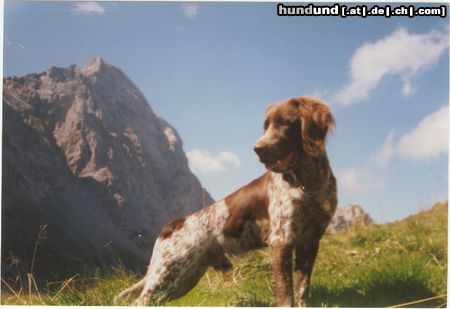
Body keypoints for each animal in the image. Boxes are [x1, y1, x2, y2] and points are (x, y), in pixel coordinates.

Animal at [116, 96, 338, 306]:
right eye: (265, 126)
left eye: (285, 122)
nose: (258, 149)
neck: (309, 184)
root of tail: (173, 224)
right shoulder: (281, 241)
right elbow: (286, 295)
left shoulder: (309, 242)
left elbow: (301, 290)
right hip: (169, 272)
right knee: (140, 300)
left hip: (182, 279)